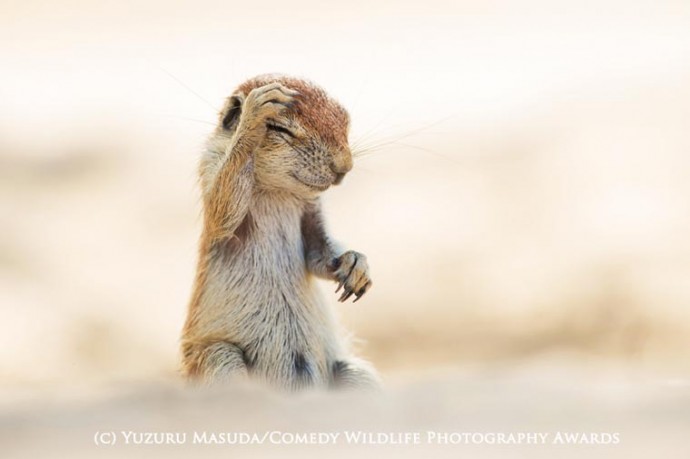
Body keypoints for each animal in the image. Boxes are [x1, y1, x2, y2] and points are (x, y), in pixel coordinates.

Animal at [180, 73, 378, 390]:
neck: (277, 190)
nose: (344, 167)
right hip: (219, 357)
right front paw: (253, 115)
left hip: (356, 373)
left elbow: (318, 251)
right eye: (278, 128)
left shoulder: (311, 207)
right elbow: (222, 212)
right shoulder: (209, 166)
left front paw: (356, 263)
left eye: (344, 117)